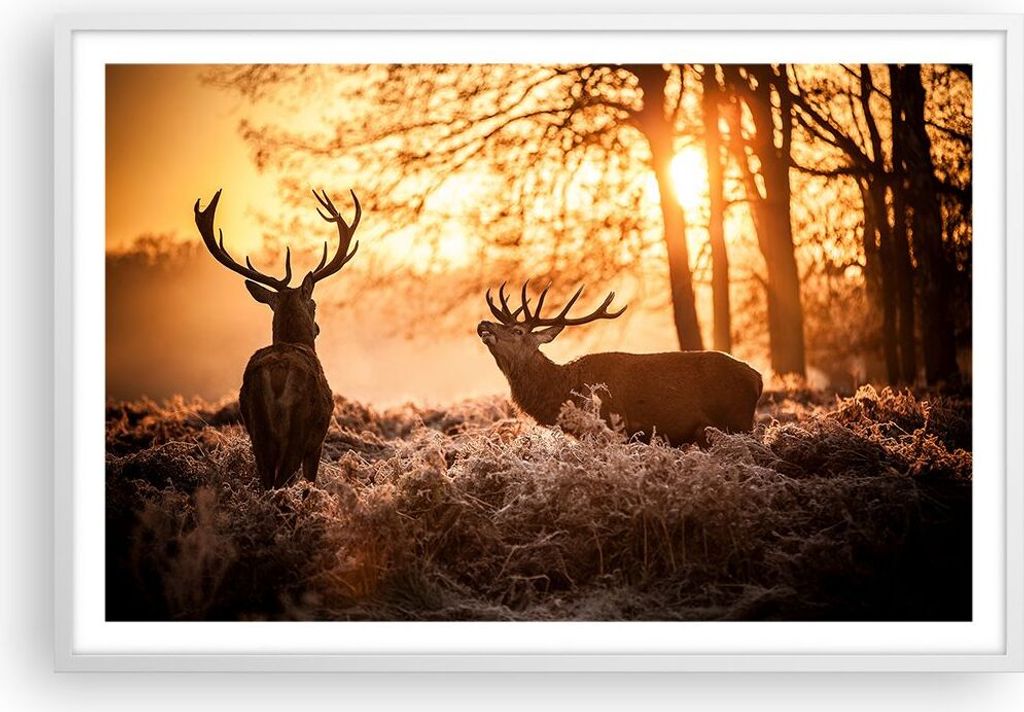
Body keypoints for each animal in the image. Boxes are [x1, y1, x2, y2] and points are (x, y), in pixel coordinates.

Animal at [194, 188, 362, 488]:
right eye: (314, 303)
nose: (317, 327)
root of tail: (276, 376)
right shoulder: (317, 441)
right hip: (298, 430)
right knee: (281, 480)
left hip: (256, 429)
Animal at [477, 282, 763, 446]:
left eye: (517, 331)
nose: (484, 324)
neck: (565, 390)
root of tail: (757, 379)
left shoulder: (613, 428)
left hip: (738, 422)